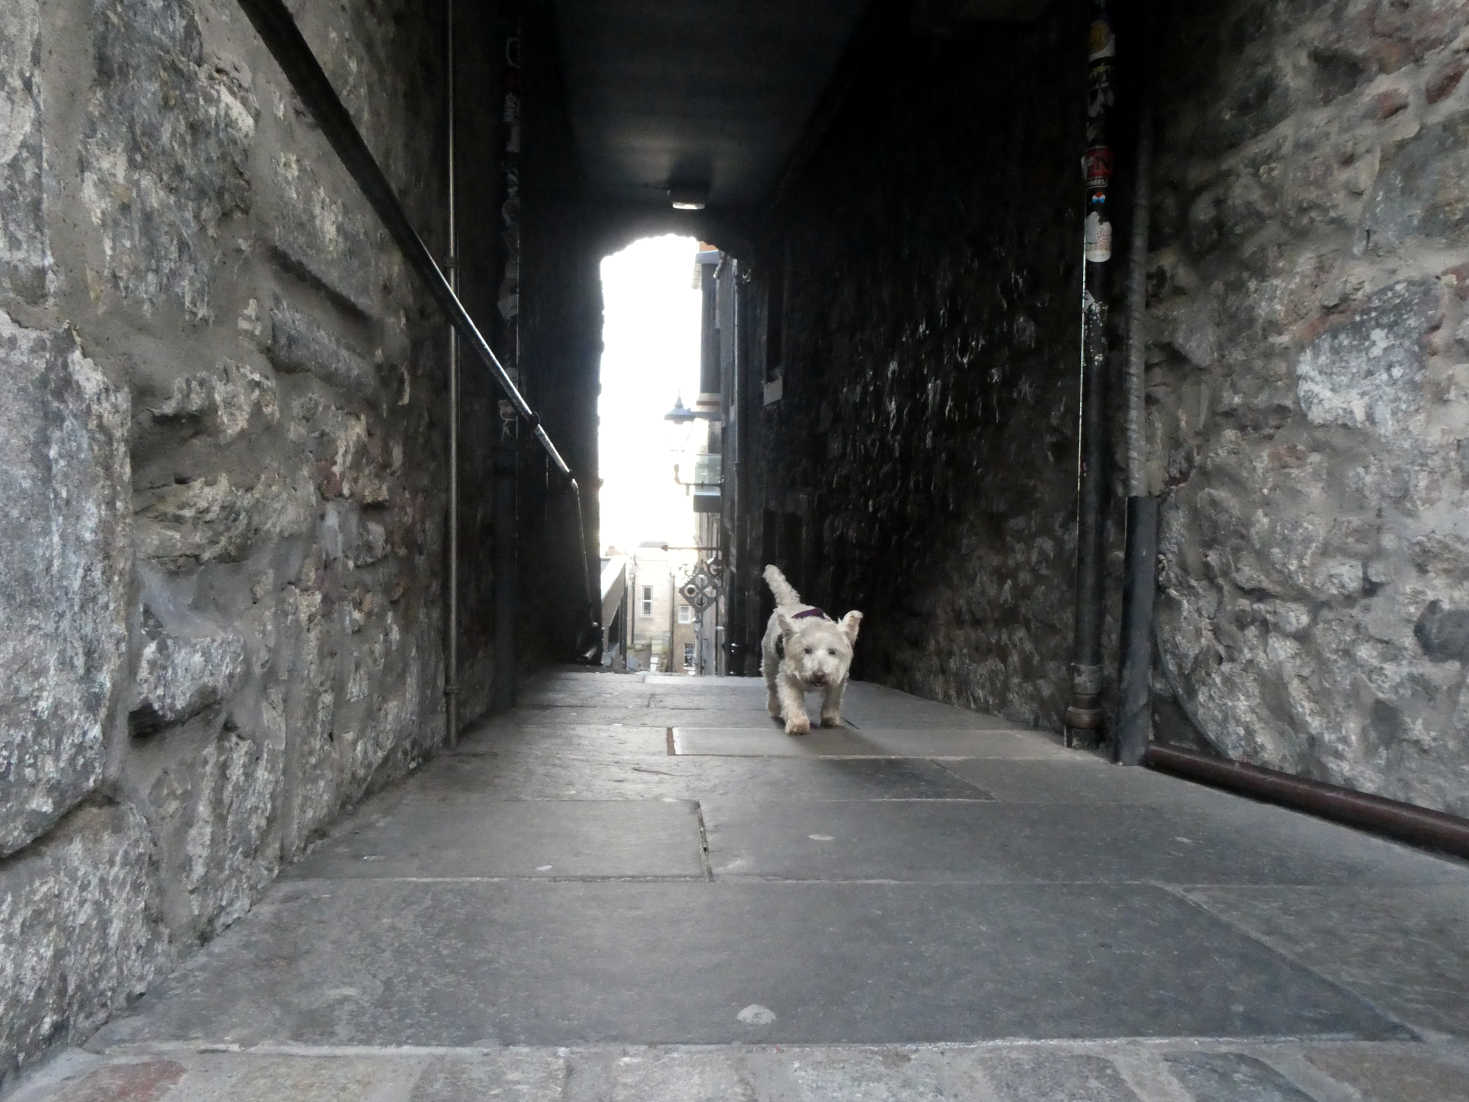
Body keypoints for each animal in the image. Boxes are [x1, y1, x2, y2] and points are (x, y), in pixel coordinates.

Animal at [758, 564, 857, 737]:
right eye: (806, 650)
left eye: (832, 651)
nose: (819, 674)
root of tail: (791, 603)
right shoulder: (787, 677)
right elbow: (792, 699)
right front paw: (798, 724)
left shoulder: (839, 677)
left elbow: (833, 698)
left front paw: (830, 718)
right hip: (769, 659)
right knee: (771, 686)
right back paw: (774, 708)